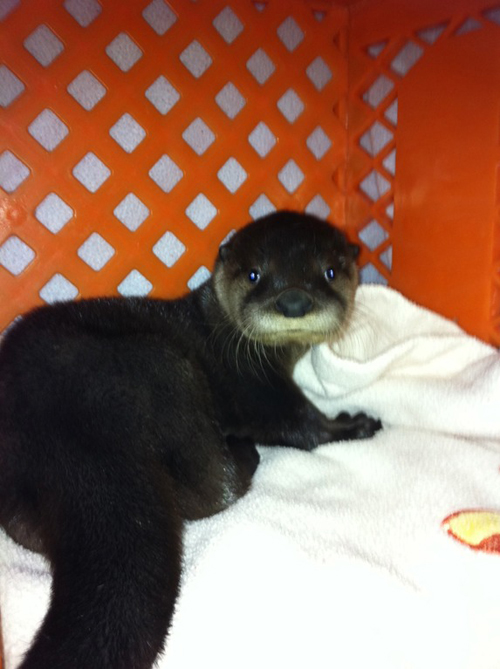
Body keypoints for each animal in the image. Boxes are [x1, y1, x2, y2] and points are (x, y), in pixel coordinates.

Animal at [0, 210, 381, 669]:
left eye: (330, 272)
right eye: (254, 275)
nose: (293, 302)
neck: (222, 332)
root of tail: (75, 436)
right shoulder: (256, 387)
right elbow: (301, 425)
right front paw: (355, 424)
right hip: (169, 371)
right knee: (213, 487)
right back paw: (243, 452)